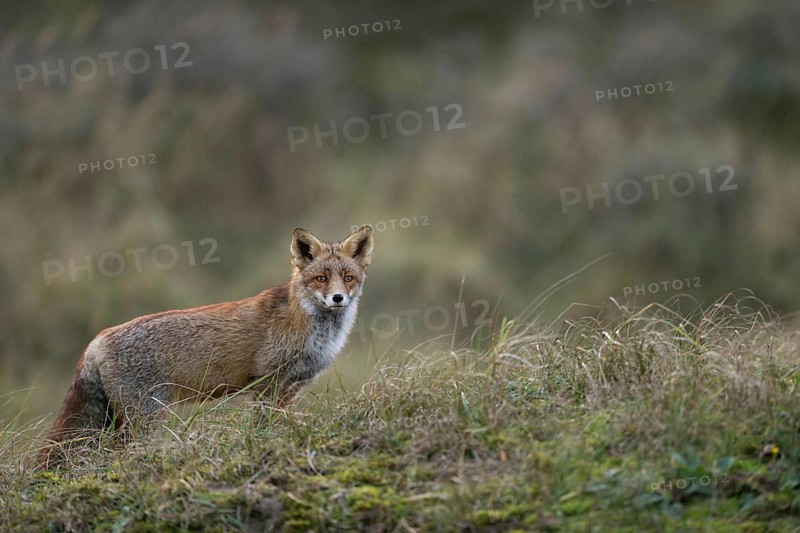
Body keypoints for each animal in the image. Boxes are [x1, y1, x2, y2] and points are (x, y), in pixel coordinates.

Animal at [38, 226, 373, 468]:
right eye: (320, 279)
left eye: (348, 278)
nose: (338, 298)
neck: (312, 330)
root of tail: (97, 339)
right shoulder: (267, 382)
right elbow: (262, 426)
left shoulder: (292, 387)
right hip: (146, 419)